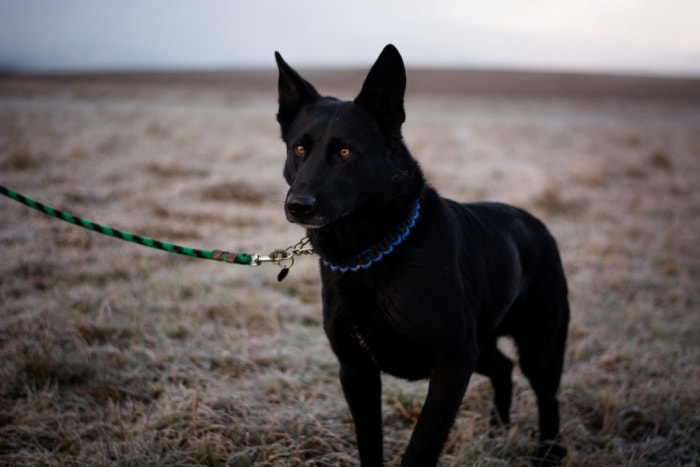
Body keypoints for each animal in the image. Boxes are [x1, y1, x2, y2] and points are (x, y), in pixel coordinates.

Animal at [274, 44, 568, 467]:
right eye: (299, 148)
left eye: (345, 151)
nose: (298, 206)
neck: (370, 253)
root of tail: (537, 224)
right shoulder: (356, 370)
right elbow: (370, 445)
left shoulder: (452, 364)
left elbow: (421, 448)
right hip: (482, 345)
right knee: (503, 367)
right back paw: (497, 430)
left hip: (539, 345)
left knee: (547, 394)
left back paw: (549, 452)